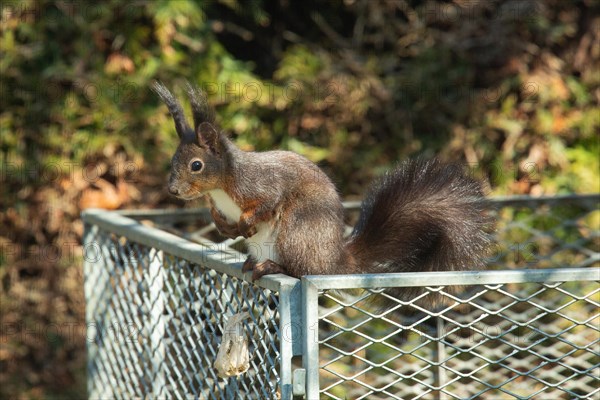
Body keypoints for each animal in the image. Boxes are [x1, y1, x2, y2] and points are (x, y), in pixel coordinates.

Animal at [152, 81, 490, 296]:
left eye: (196, 165)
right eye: (172, 161)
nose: (173, 191)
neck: (221, 190)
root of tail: (333, 262)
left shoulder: (262, 185)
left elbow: (266, 203)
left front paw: (246, 223)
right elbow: (220, 219)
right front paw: (227, 228)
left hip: (298, 229)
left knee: (298, 270)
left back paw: (271, 265)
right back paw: (252, 261)